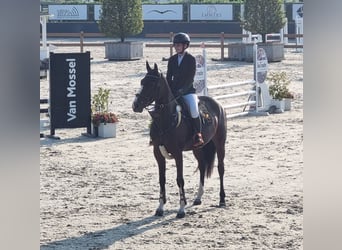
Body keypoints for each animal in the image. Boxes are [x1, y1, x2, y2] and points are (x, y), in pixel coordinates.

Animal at [133, 61, 227, 218]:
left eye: (153, 84)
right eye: (142, 82)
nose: (135, 105)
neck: (165, 119)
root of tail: (218, 104)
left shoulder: (178, 153)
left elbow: (180, 179)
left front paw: (181, 209)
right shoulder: (157, 153)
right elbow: (162, 179)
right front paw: (160, 208)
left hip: (220, 143)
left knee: (221, 168)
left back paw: (222, 200)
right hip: (198, 148)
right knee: (202, 166)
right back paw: (198, 198)